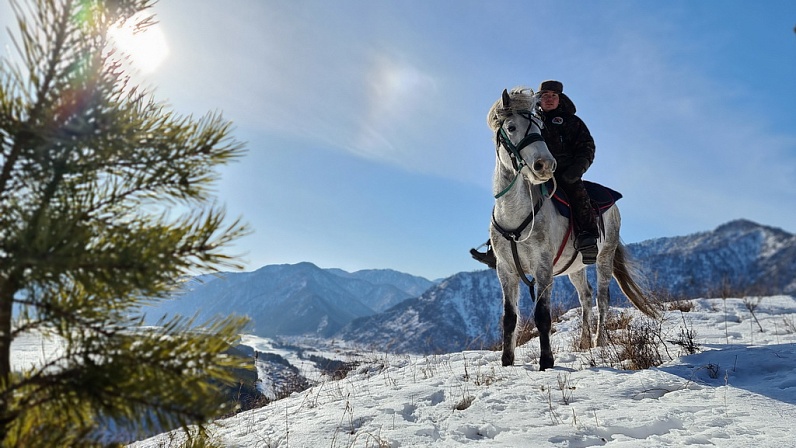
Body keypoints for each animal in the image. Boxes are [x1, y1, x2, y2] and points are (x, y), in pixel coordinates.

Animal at [486, 87, 660, 372]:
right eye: (511, 127)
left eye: (539, 128)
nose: (545, 165)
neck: (515, 215)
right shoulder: (506, 270)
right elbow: (509, 318)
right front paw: (507, 362)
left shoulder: (543, 268)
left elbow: (542, 316)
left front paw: (547, 362)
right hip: (575, 268)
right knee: (586, 298)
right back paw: (583, 342)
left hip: (604, 258)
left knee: (601, 298)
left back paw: (599, 341)